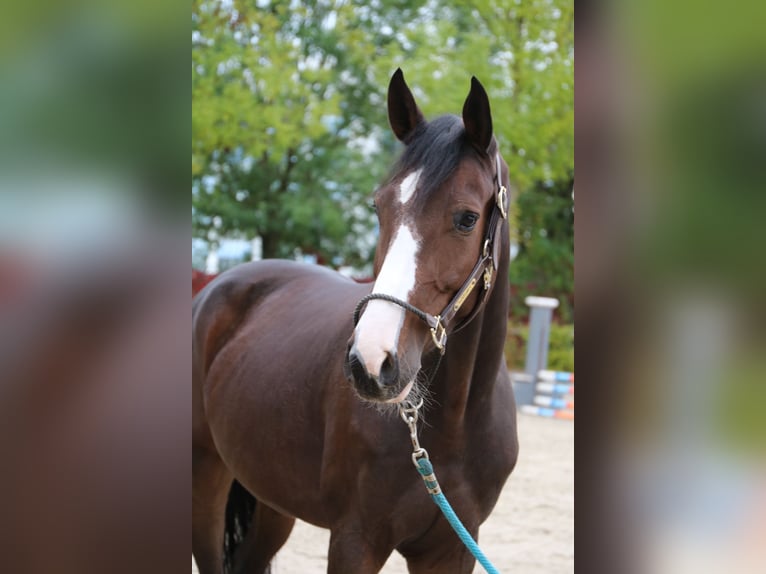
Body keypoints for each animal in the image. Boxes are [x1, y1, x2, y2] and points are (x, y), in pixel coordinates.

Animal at [192, 70, 520, 572]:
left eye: (467, 219)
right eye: (378, 208)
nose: (371, 362)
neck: (453, 423)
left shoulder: (452, 548)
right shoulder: (355, 538)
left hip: (272, 500)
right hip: (205, 479)